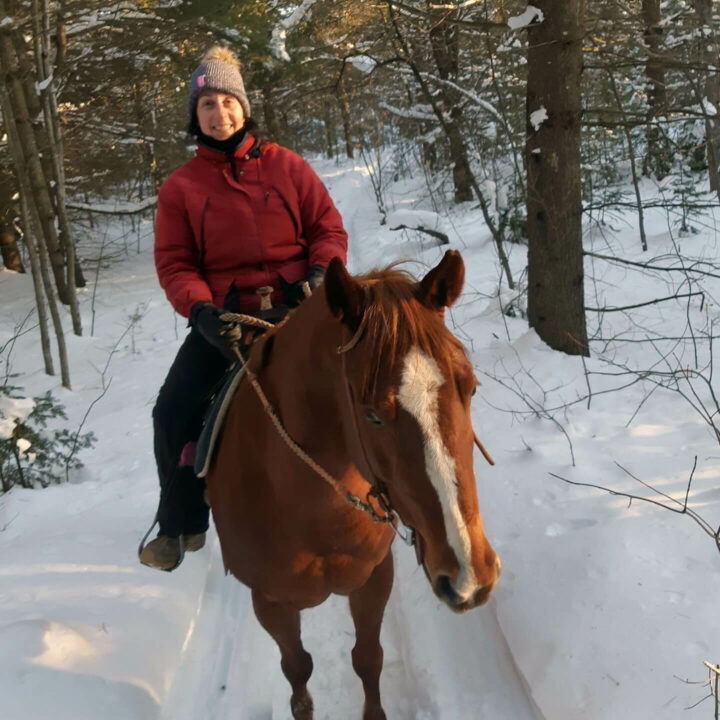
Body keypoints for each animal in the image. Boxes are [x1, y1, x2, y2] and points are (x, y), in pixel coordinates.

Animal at [205, 250, 500, 720]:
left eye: (470, 386)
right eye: (372, 415)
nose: (470, 576)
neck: (312, 515)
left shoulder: (374, 577)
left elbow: (367, 659)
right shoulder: (270, 603)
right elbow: (297, 672)